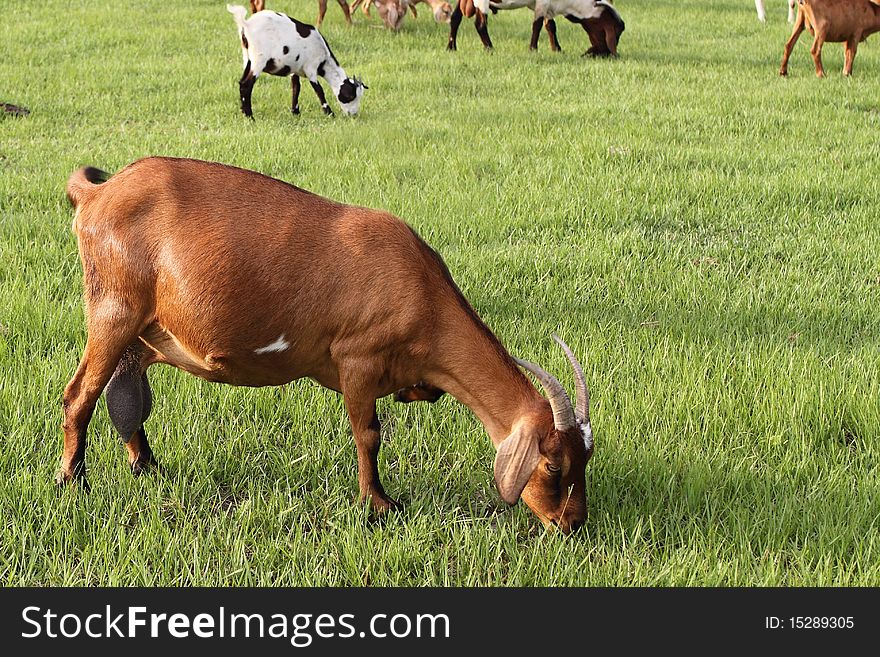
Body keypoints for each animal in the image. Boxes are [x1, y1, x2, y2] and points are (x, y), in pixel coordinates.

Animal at [60, 156, 600, 532]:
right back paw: (74, 481)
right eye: (553, 464)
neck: (423, 291)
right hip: (112, 309)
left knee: (127, 394)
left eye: (586, 460)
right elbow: (369, 434)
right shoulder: (356, 358)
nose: (572, 523)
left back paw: (147, 467)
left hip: (144, 330)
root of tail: (98, 193)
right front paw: (379, 504)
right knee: (80, 395)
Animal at [229, 4, 366, 118]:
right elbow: (319, 90)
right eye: (350, 96)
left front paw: (295, 112)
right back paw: (250, 116)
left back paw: (244, 112)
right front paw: (329, 113)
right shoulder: (311, 68)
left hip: (248, 58)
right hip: (259, 59)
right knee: (246, 84)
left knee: (242, 82)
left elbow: (296, 88)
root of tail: (246, 24)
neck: (324, 59)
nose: (353, 114)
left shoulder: (294, 68)